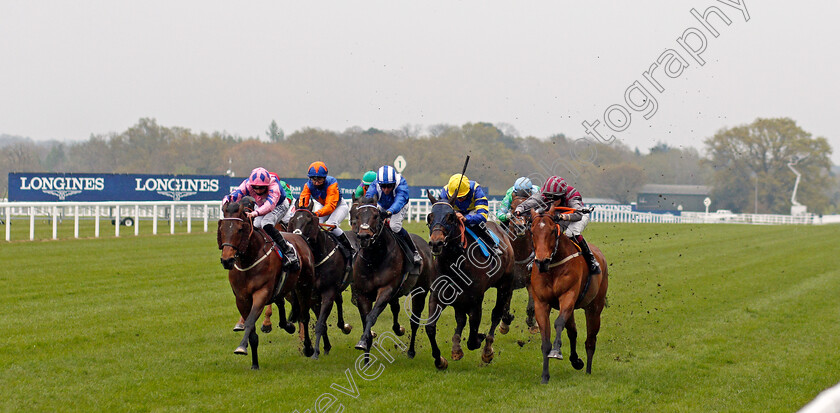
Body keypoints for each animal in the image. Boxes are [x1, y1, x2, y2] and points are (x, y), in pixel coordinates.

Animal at [218, 198, 316, 368]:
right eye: (222, 228)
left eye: (239, 229)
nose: (227, 260)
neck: (249, 259)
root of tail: (300, 239)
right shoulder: (242, 298)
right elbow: (251, 328)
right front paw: (255, 364)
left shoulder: (262, 292)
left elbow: (250, 321)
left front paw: (241, 347)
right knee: (283, 305)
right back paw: (288, 326)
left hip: (304, 286)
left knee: (304, 316)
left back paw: (308, 347)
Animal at [288, 200, 354, 358]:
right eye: (292, 220)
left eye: (309, 220)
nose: (297, 238)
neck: (317, 257)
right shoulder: (308, 294)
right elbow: (306, 318)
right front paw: (310, 348)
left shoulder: (328, 291)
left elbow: (320, 322)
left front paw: (316, 351)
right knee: (337, 301)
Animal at [352, 195, 436, 358]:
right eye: (357, 215)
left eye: (376, 216)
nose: (364, 236)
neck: (374, 259)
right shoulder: (362, 294)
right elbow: (366, 321)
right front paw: (364, 348)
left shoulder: (387, 289)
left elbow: (371, 316)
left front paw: (363, 341)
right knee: (396, 307)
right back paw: (398, 329)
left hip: (420, 291)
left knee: (414, 321)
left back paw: (411, 351)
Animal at [424, 194, 516, 370]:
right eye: (430, 217)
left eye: (451, 217)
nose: (436, 243)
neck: (454, 262)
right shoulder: (437, 295)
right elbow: (430, 327)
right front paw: (440, 360)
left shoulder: (475, 299)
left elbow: (473, 336)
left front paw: (481, 338)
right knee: (461, 318)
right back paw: (456, 347)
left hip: (504, 285)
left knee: (496, 315)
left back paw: (487, 350)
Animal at [528, 200, 608, 384]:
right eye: (532, 231)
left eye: (552, 230)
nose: (542, 261)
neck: (552, 267)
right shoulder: (541, 303)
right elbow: (545, 340)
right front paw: (545, 376)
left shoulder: (568, 296)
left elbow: (558, 323)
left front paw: (556, 351)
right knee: (573, 332)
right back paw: (576, 361)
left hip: (594, 307)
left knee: (590, 340)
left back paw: (588, 370)